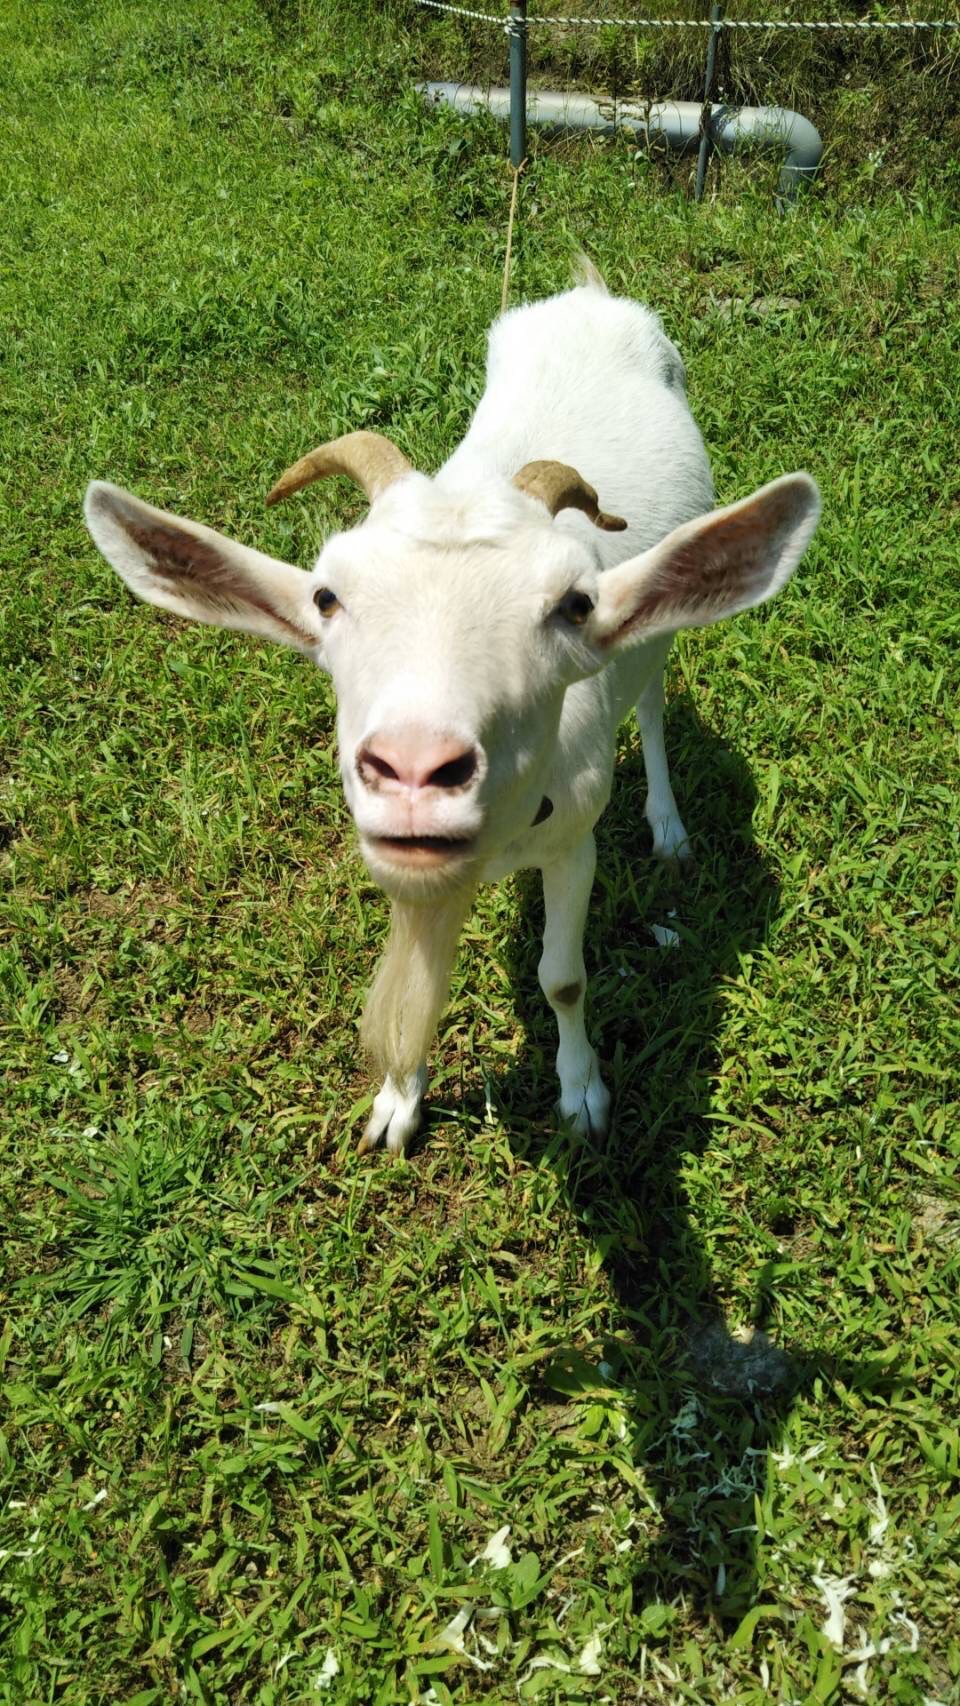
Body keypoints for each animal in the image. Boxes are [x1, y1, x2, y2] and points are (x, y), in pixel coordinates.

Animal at [84, 267, 820, 1155]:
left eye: (574, 604)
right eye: (326, 597)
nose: (413, 770)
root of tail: (588, 291)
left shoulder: (574, 841)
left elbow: (563, 980)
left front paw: (581, 1097)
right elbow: (411, 990)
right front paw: (397, 1103)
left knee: (648, 697)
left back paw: (670, 827)